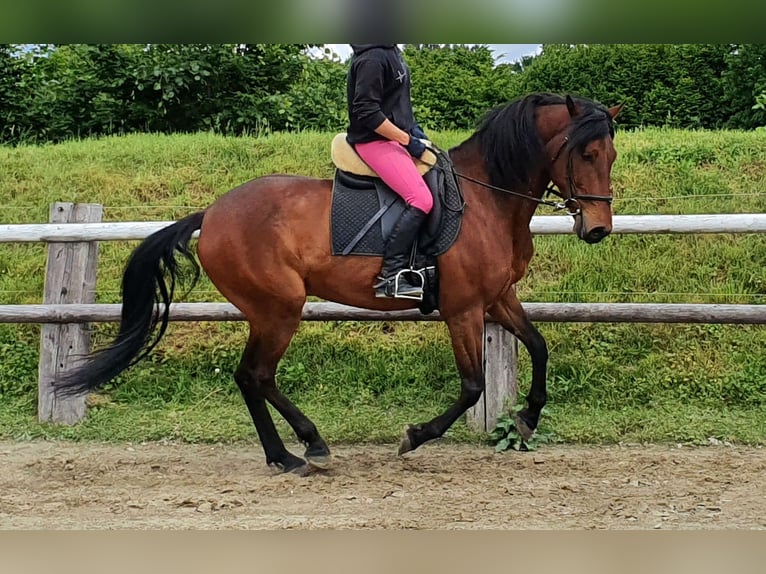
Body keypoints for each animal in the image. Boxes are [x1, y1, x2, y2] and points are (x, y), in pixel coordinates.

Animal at [58, 93, 624, 472]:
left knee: (254, 377)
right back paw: (292, 453)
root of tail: (212, 214)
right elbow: (472, 386)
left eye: (611, 155)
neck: (488, 199)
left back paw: (298, 447)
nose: (598, 229)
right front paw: (415, 436)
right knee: (254, 375)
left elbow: (540, 346)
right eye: (586, 154)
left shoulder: (498, 298)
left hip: (272, 311)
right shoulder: (462, 309)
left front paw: (527, 418)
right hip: (278, 308)